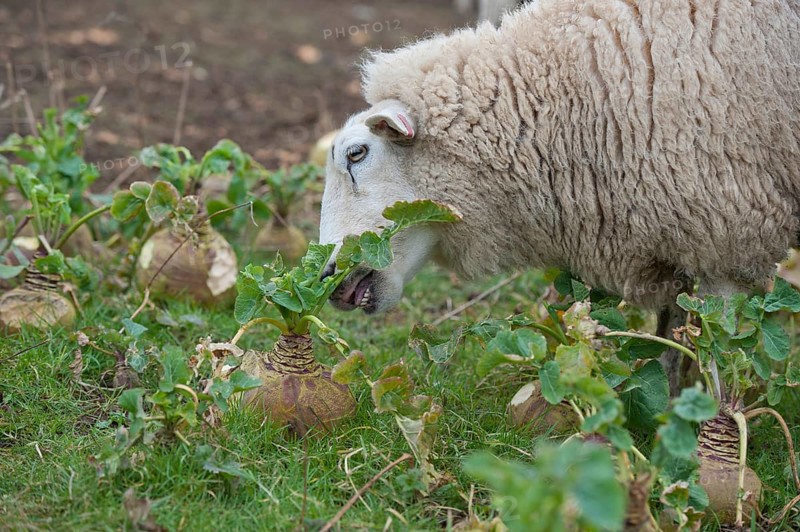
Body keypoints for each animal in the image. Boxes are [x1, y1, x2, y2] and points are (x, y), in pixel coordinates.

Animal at [319, 0, 800, 391]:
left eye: (356, 154)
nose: (326, 277)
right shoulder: (677, 234)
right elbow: (670, 338)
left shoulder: (730, 236)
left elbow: (720, 352)